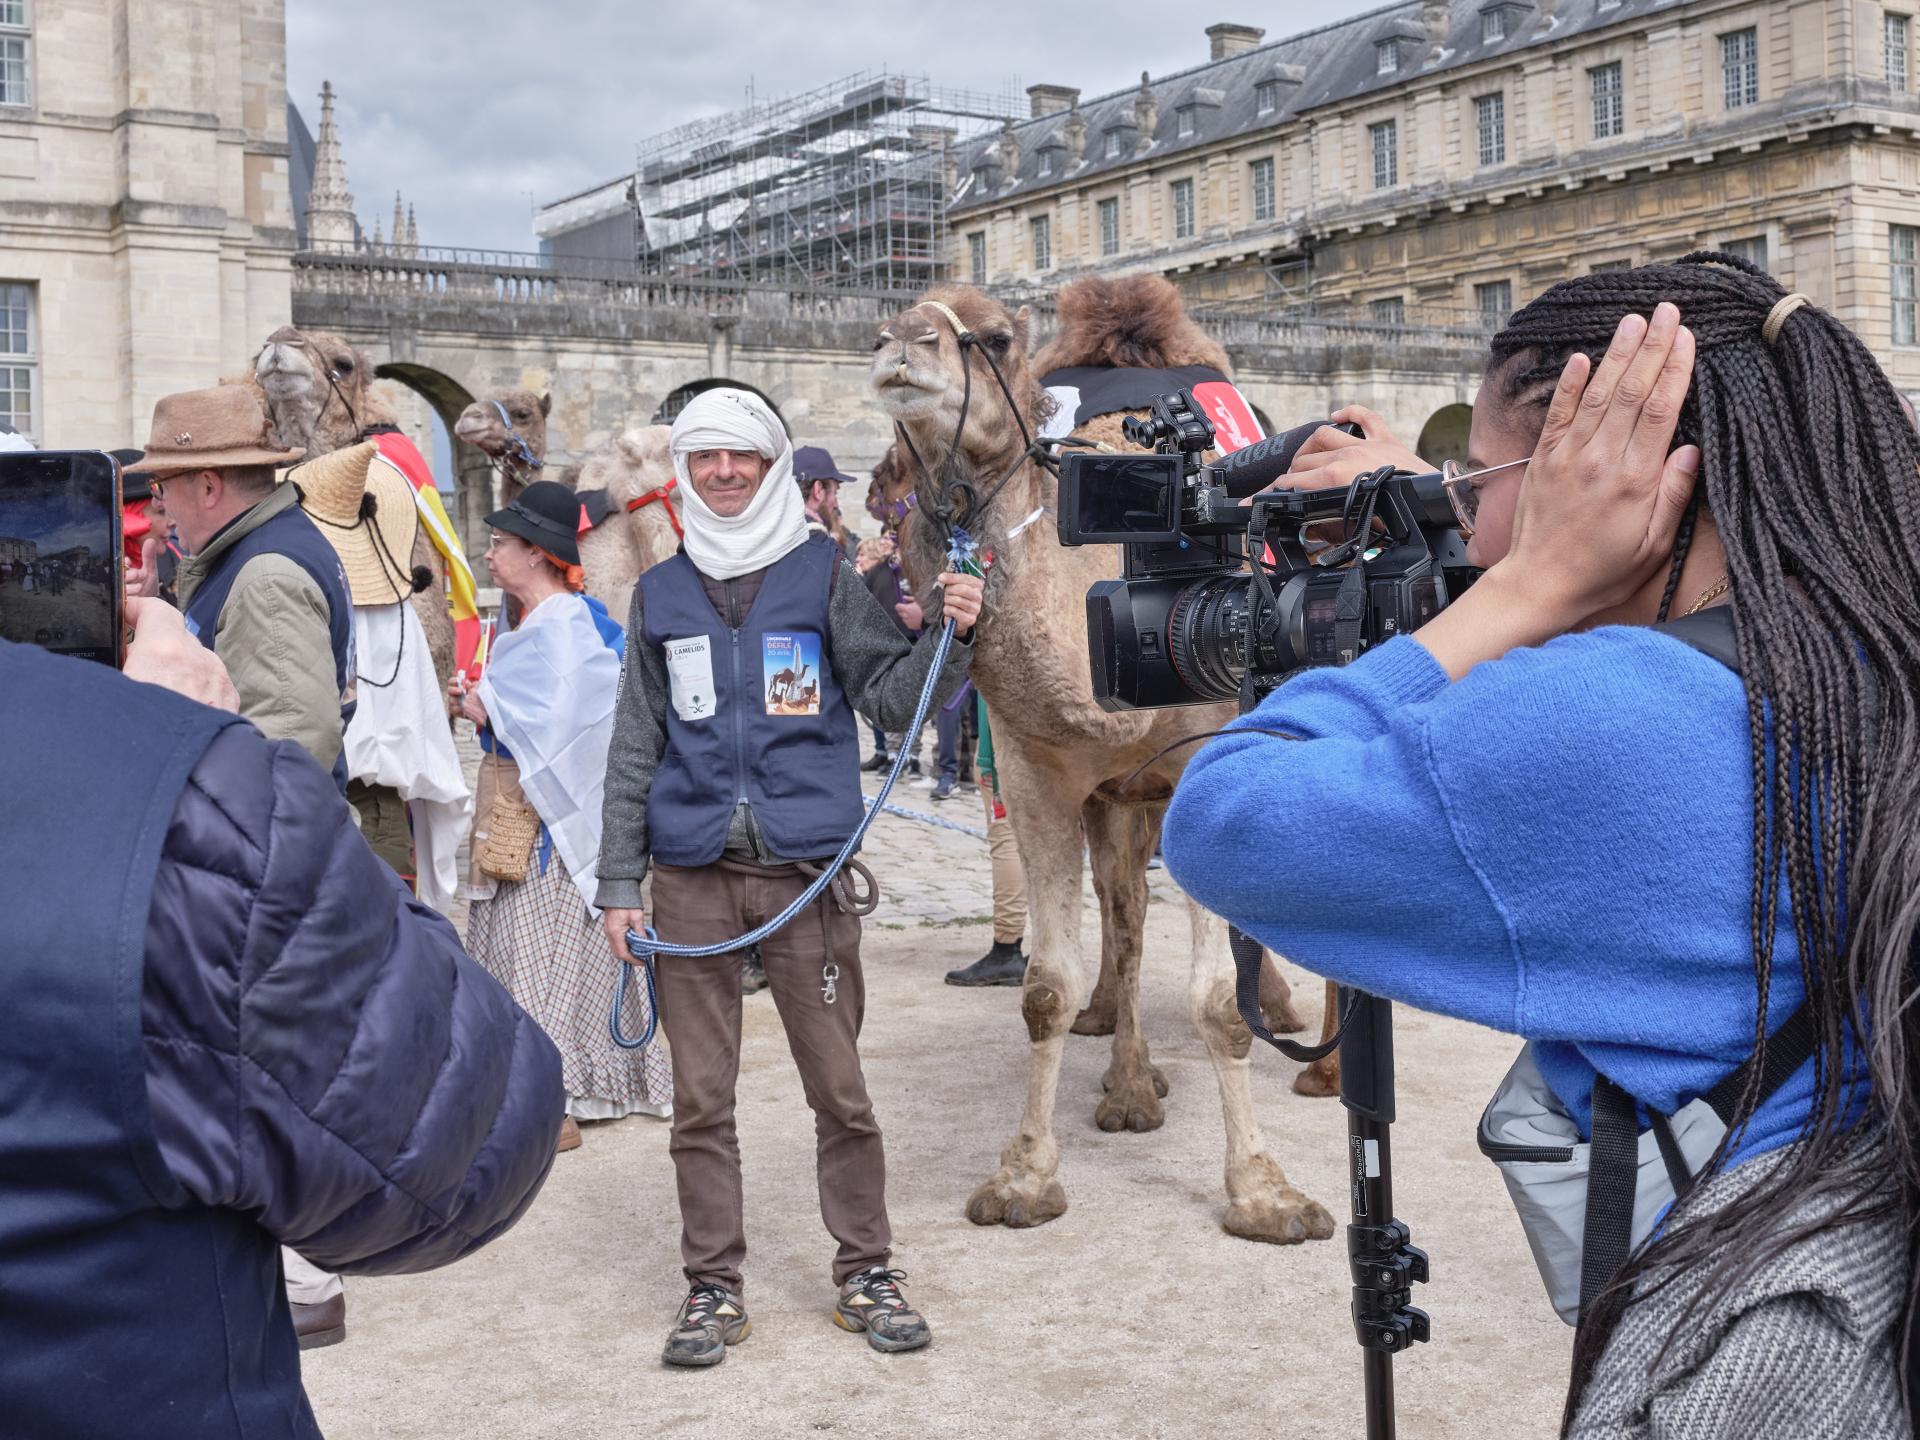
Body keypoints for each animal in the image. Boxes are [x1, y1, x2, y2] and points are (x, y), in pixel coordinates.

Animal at [871, 276, 1336, 1244]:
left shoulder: (1203, 760)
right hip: (1119, 799)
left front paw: (1264, 1194)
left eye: (994, 338)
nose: (900, 344)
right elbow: (1047, 984)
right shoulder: (1038, 770)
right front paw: (1023, 1177)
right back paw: (1130, 1085)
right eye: (880, 328)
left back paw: (1297, 1047)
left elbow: (1215, 1001)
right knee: (1124, 917)